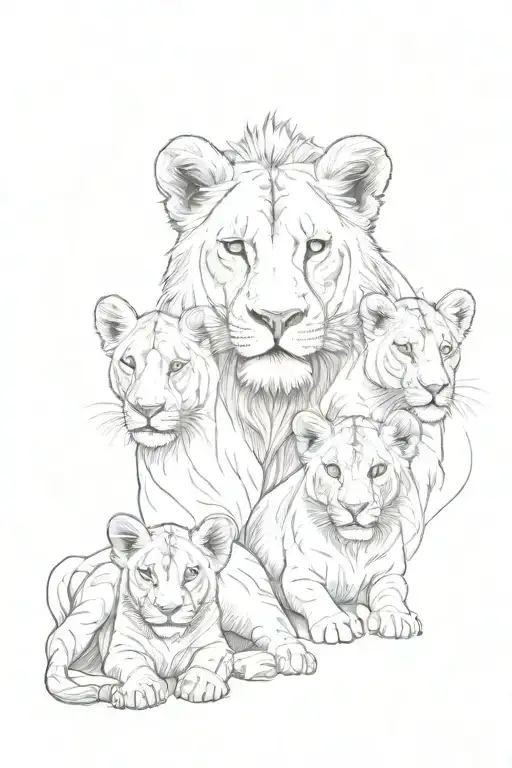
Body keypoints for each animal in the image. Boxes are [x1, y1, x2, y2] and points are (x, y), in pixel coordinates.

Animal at [45, 514, 280, 707]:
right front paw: (142, 688)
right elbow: (136, 665)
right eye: (146, 573)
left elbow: (208, 660)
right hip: (95, 603)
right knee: (56, 665)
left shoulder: (217, 646)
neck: (170, 639)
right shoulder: (122, 650)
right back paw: (108, 689)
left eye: (191, 572)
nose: (168, 609)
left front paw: (200, 682)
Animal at [243, 410, 424, 644]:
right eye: (332, 470)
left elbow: (390, 593)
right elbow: (316, 595)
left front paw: (396, 617)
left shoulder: (389, 574)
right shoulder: (298, 576)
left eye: (377, 470)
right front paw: (335, 623)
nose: (354, 507)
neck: (354, 548)